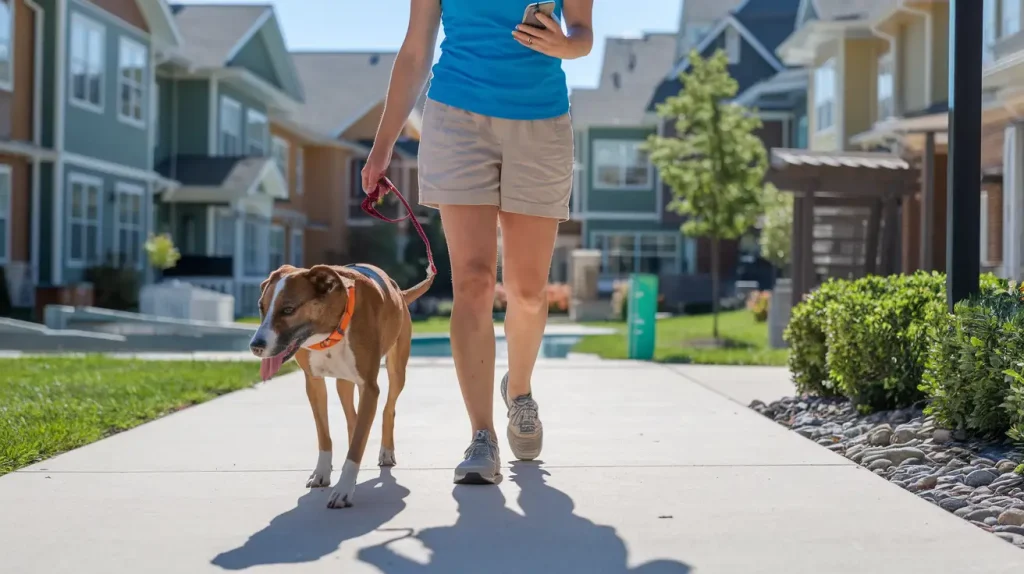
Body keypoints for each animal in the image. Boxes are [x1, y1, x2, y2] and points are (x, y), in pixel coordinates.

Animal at [252, 261, 436, 507]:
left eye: (288, 310)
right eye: (261, 307)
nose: (256, 346)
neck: (329, 331)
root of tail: (400, 293)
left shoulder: (370, 387)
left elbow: (358, 443)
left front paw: (344, 488)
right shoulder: (314, 383)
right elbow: (324, 434)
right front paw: (322, 473)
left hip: (397, 370)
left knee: (388, 409)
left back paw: (386, 451)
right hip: (344, 383)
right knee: (352, 417)